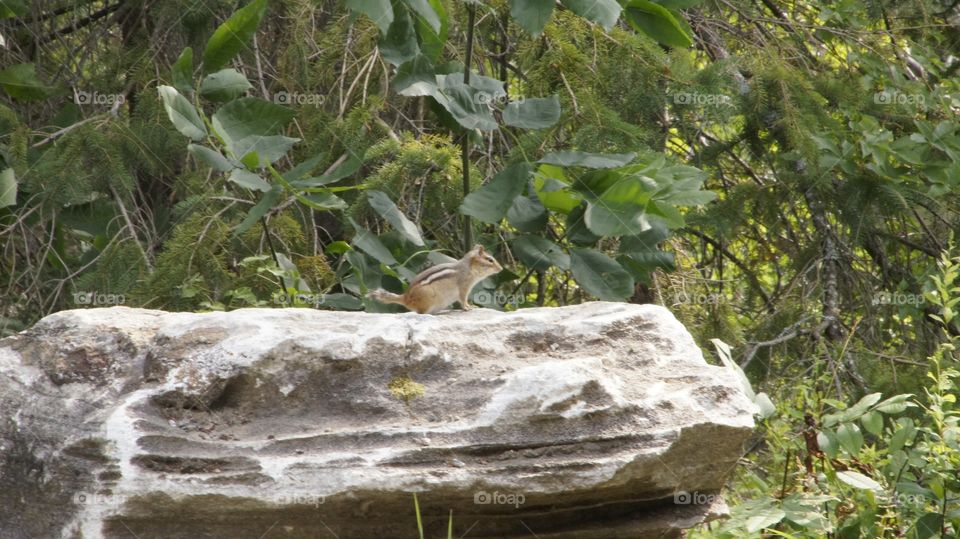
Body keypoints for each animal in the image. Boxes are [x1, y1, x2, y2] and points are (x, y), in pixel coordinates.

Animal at [367, 244, 503, 314]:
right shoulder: (464, 287)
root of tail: (405, 298)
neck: (468, 268)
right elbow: (463, 299)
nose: (501, 269)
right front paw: (468, 307)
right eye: (490, 260)